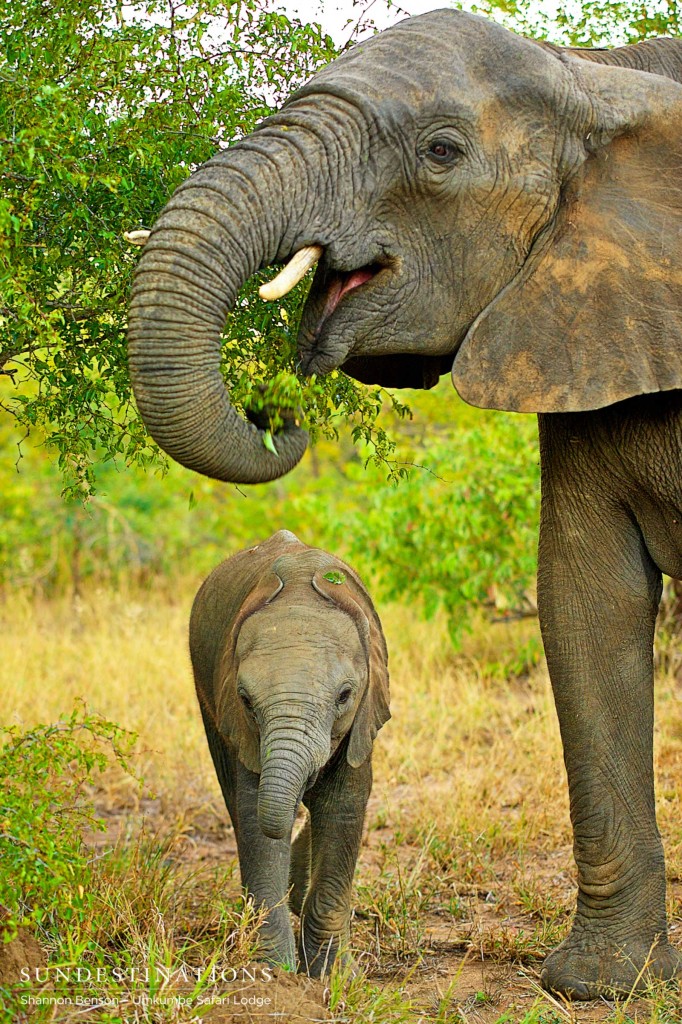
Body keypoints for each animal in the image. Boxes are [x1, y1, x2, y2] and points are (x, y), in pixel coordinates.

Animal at [188, 528, 387, 974]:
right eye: (246, 700)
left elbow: (344, 806)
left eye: (345, 696)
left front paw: (334, 975)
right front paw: (271, 974)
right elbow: (252, 814)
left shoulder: (362, 720)